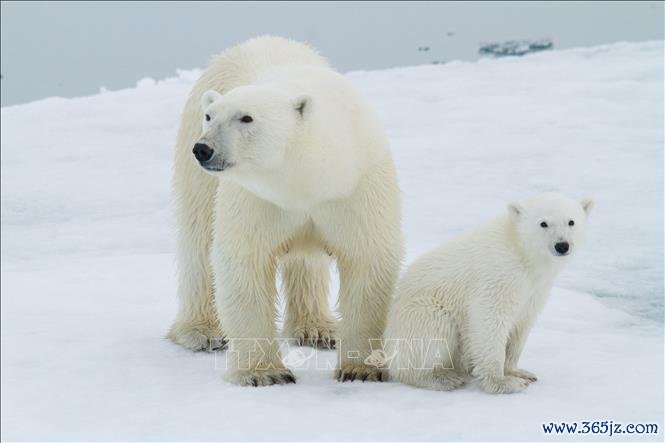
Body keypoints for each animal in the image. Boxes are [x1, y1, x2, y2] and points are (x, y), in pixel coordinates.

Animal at [169, 36, 402, 386]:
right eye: (210, 116)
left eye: (246, 118)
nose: (204, 149)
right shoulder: (256, 197)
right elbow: (244, 261)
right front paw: (264, 373)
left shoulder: (356, 185)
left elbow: (367, 259)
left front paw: (360, 369)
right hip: (196, 167)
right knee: (198, 238)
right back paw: (202, 332)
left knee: (307, 264)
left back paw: (318, 329)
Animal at [382, 193, 592, 394]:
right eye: (543, 223)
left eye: (571, 221)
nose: (562, 245)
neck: (522, 253)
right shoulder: (498, 276)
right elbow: (490, 320)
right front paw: (503, 382)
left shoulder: (536, 289)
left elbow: (522, 325)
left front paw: (520, 372)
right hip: (421, 311)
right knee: (433, 331)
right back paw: (441, 379)